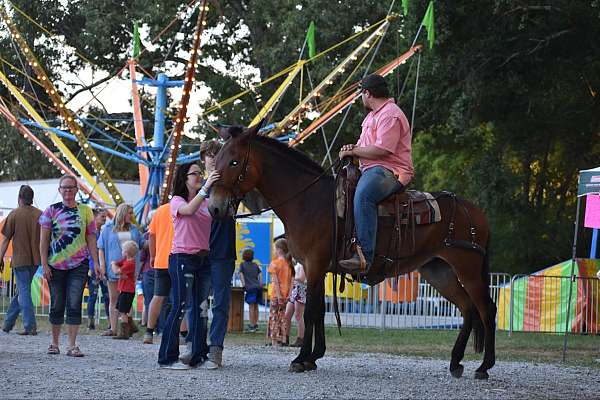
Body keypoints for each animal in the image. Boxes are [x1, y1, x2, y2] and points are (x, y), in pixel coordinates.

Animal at [210, 123, 496, 380]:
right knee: (467, 308)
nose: (214, 207)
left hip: (467, 268)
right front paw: (314, 356)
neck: (308, 201)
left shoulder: (314, 265)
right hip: (438, 270)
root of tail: (476, 212)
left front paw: (301, 359)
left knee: (486, 309)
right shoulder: (319, 268)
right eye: (218, 160)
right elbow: (320, 311)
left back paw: (484, 367)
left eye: (234, 162)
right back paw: (456, 362)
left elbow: (311, 311)